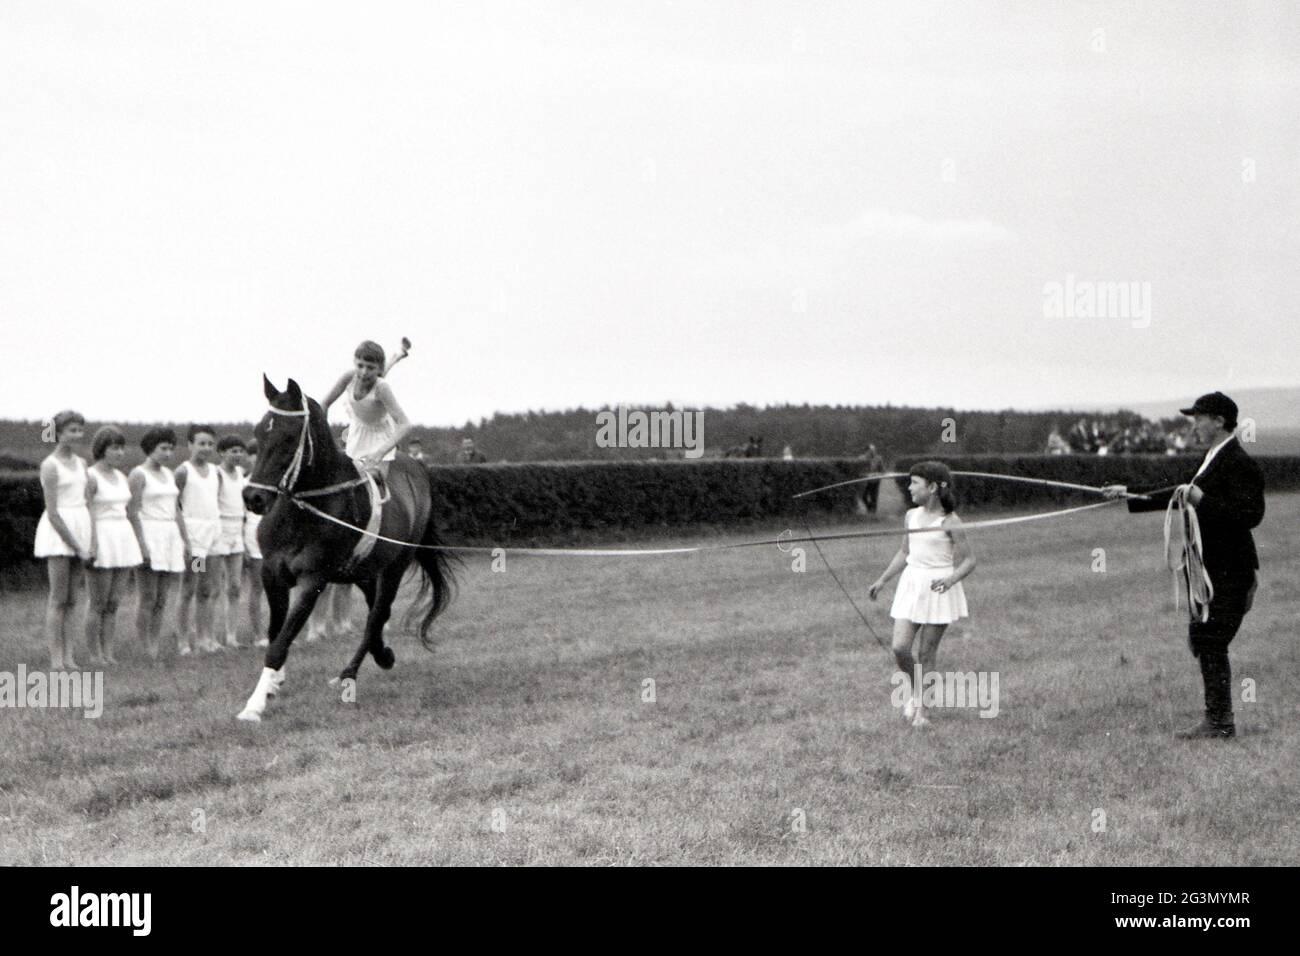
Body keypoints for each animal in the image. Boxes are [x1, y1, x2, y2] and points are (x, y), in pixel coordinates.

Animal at [235, 377, 457, 723]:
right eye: (259, 433)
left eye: (288, 437)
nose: (253, 498)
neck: (306, 507)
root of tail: (417, 467)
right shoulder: (271, 573)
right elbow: (275, 632)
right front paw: (273, 684)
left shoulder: (313, 579)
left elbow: (281, 641)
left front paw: (254, 706)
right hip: (363, 570)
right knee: (377, 611)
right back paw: (382, 653)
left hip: (394, 566)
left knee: (377, 614)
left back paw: (350, 673)